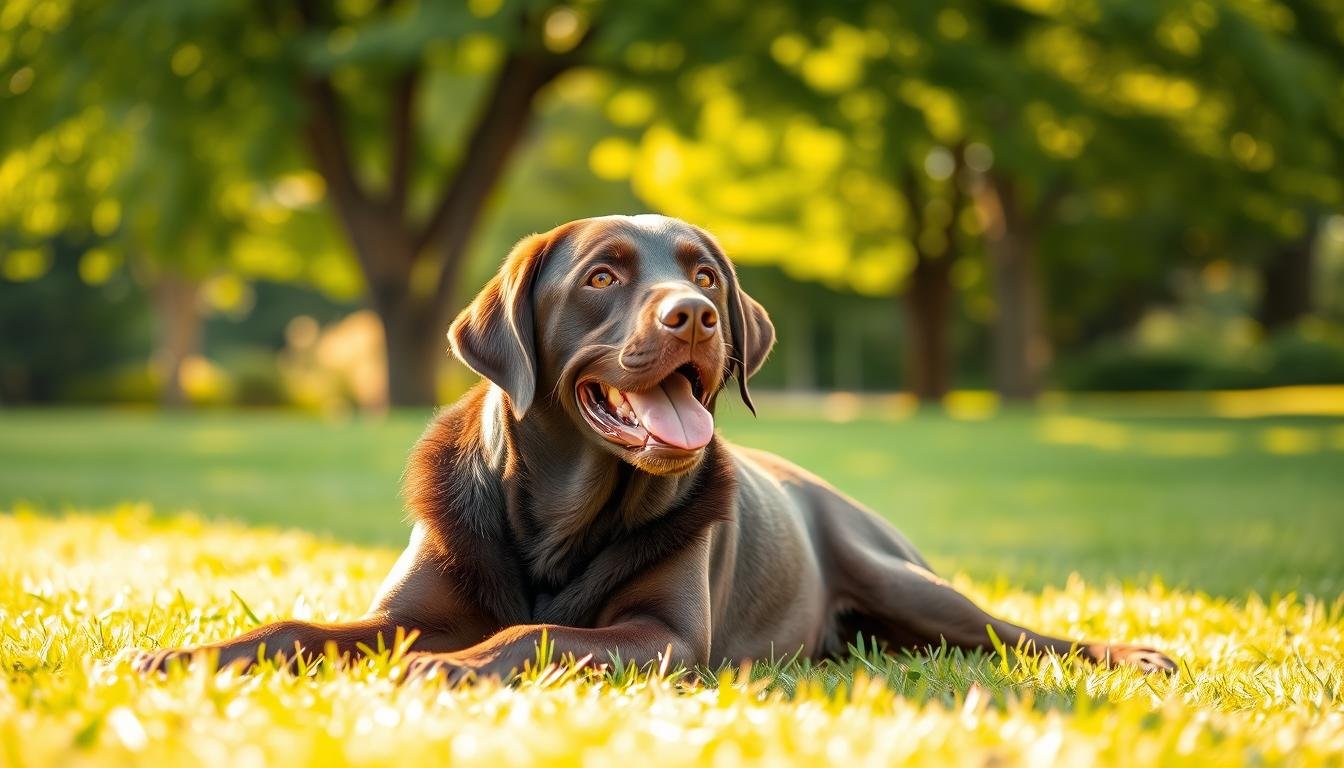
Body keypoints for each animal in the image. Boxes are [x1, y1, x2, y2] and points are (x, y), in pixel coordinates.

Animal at [131, 215, 1171, 677]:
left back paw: (1135, 655)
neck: (554, 520)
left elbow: (537, 632)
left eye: (706, 275)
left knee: (1012, 634)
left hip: (903, 583)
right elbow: (297, 629)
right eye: (601, 276)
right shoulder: (402, 611)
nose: (696, 317)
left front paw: (453, 668)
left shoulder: (661, 636)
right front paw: (185, 655)